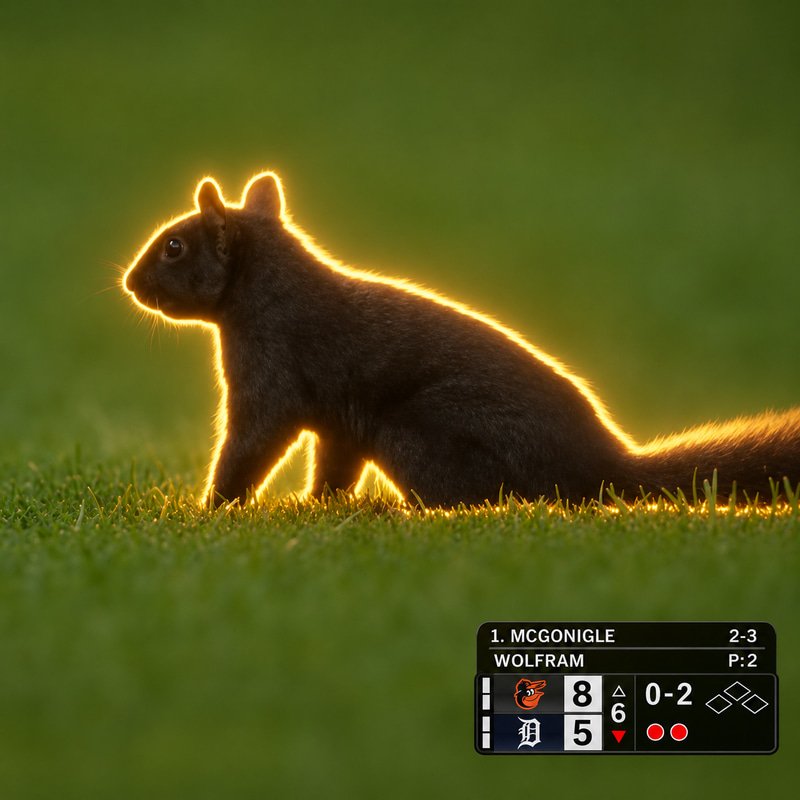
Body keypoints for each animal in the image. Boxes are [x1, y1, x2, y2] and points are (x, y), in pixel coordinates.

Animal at [123, 172, 800, 507]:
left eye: (174, 246)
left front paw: (211, 511)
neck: (266, 290)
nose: (129, 283)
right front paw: (317, 507)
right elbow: (333, 467)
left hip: (417, 435)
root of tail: (600, 468)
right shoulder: (338, 422)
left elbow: (249, 447)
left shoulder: (272, 374)